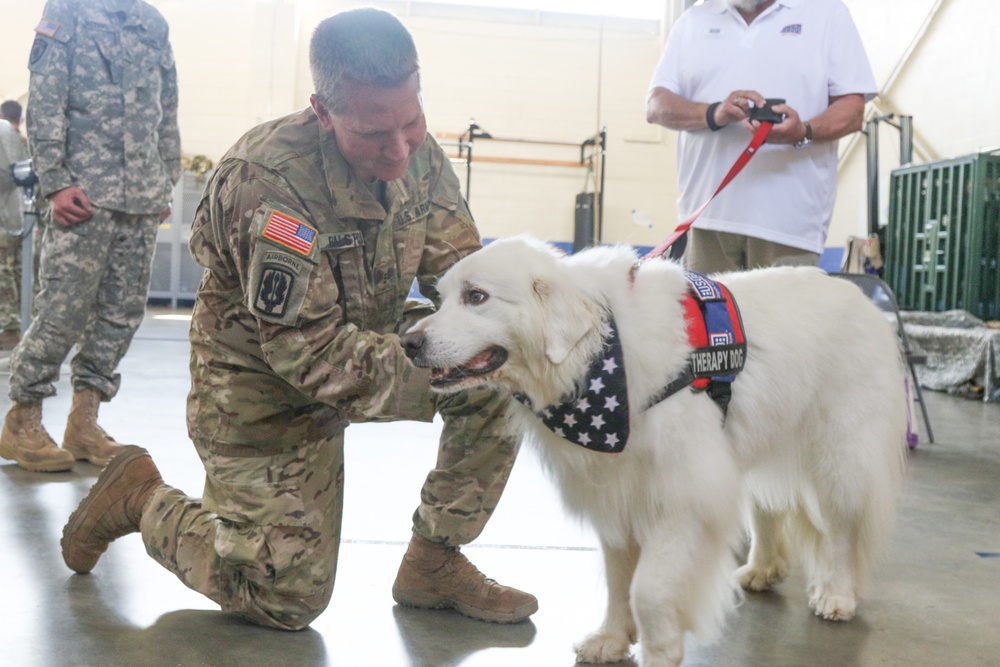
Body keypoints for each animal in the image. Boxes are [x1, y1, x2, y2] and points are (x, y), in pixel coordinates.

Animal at [398, 237, 908, 664]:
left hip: (841, 456)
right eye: (442, 297)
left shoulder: (685, 496)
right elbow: (619, 578)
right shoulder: (618, 491)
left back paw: (836, 595)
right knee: (769, 508)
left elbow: (649, 589)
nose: (408, 342)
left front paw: (659, 651)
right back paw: (762, 569)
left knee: (842, 530)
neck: (602, 351)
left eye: (477, 297)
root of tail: (857, 295)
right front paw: (610, 638)